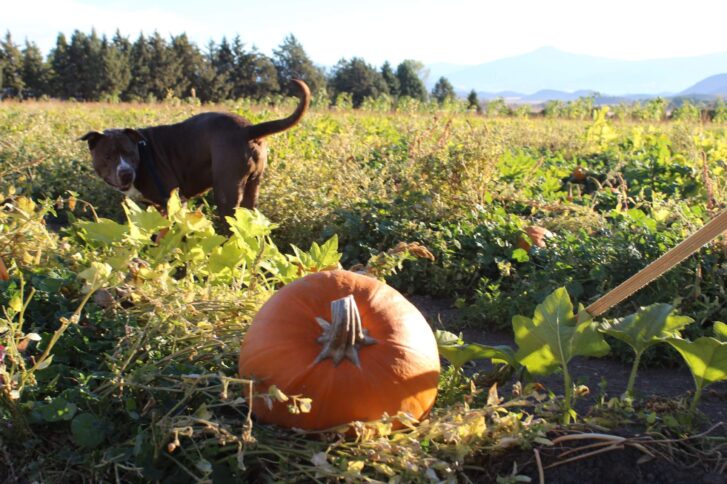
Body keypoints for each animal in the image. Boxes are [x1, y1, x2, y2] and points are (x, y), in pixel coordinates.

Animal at [80, 79, 310, 222]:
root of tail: (247, 129)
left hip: (226, 191)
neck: (143, 155)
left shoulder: (169, 200)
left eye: (129, 153)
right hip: (253, 186)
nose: (126, 172)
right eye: (108, 156)